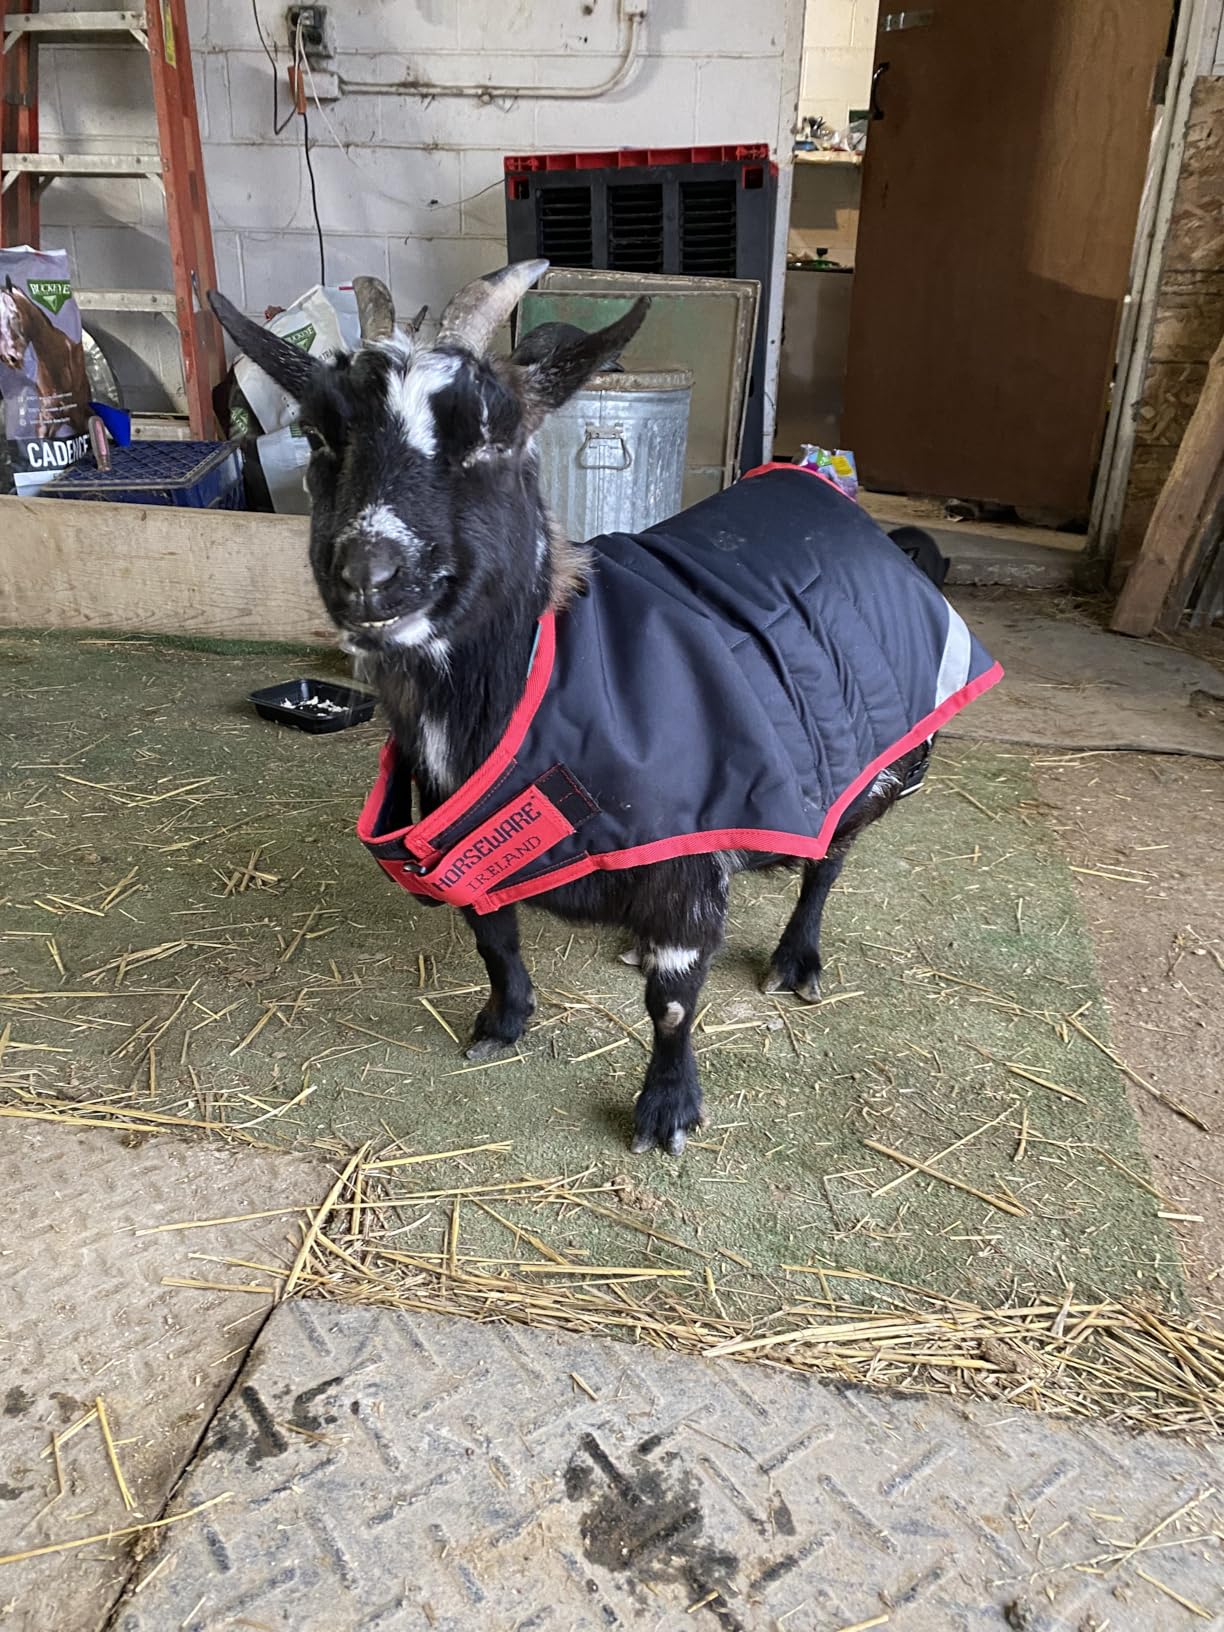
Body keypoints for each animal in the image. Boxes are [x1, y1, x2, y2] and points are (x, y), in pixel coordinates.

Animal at [209, 263, 1001, 1156]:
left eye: (494, 435)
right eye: (318, 436)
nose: (368, 576)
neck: (552, 683)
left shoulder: (688, 862)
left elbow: (674, 1001)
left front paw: (666, 1109)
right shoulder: (466, 848)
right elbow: (492, 938)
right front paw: (504, 1022)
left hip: (874, 759)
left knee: (831, 856)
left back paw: (796, 961)